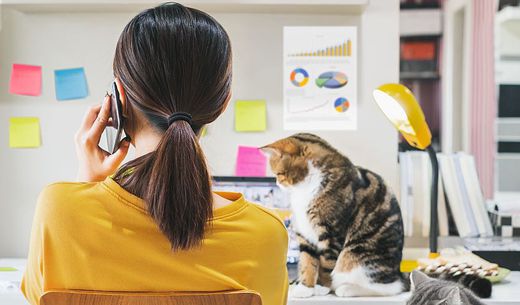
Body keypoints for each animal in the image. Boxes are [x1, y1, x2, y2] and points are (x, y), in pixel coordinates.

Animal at [260, 133, 406, 296]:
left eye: (280, 173)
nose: (277, 183)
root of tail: (398, 272)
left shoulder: (331, 233)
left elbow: (326, 263)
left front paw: (321, 287)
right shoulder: (305, 233)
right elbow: (307, 261)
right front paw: (305, 288)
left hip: (358, 255)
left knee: (390, 287)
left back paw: (347, 288)